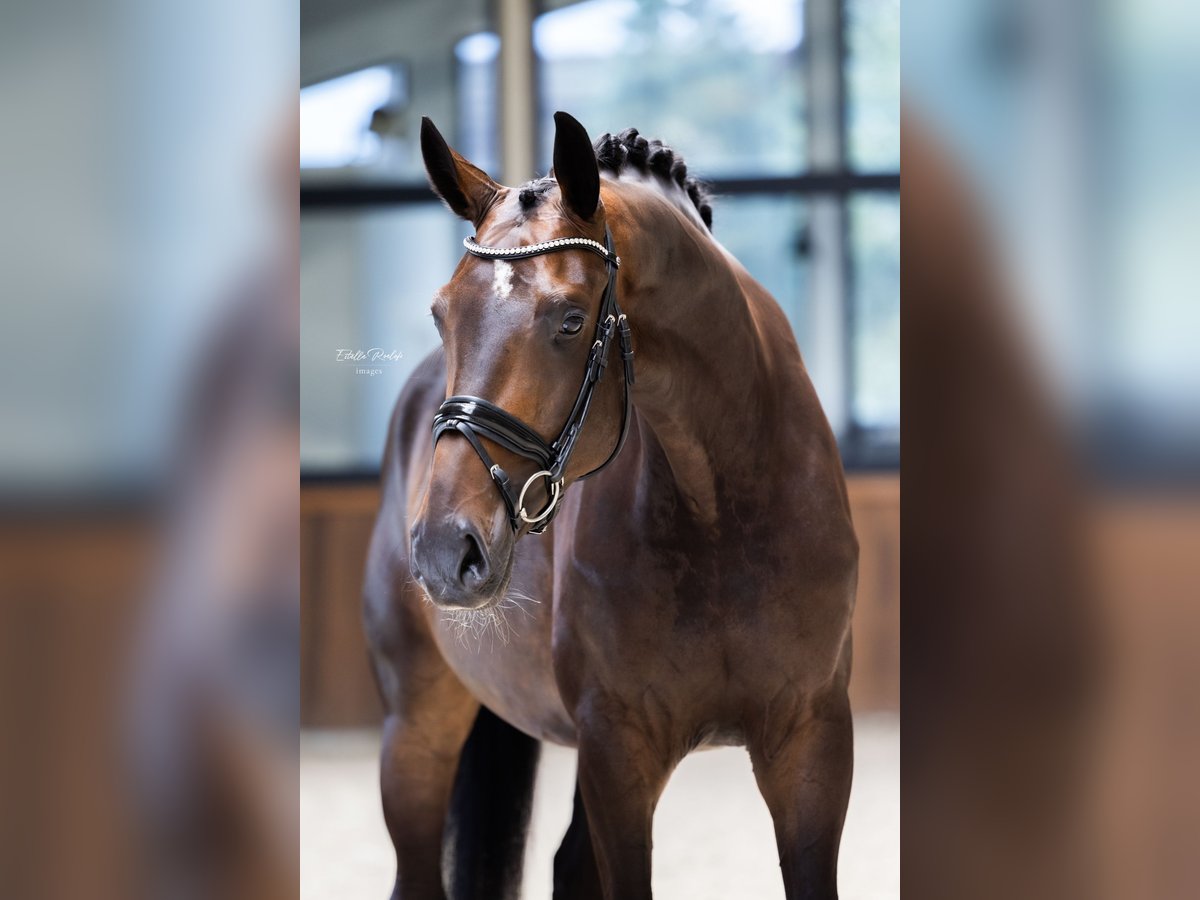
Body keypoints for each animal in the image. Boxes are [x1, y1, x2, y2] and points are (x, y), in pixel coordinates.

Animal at [360, 112, 859, 900]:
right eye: (441, 315)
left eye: (570, 320)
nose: (443, 554)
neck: (721, 508)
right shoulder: (616, 753)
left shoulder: (812, 744)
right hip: (416, 729)